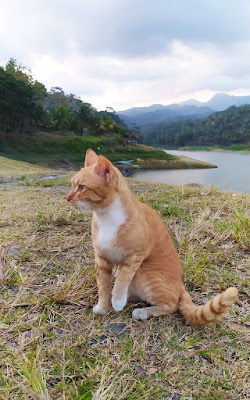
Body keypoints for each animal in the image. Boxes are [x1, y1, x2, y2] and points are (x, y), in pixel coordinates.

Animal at [66, 149, 238, 324]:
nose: (67, 198)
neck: (106, 217)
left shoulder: (135, 256)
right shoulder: (101, 258)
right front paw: (103, 306)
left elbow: (122, 278)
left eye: (82, 187)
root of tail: (180, 284)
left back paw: (141, 311)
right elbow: (103, 286)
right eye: (72, 185)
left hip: (145, 273)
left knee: (171, 305)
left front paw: (118, 300)